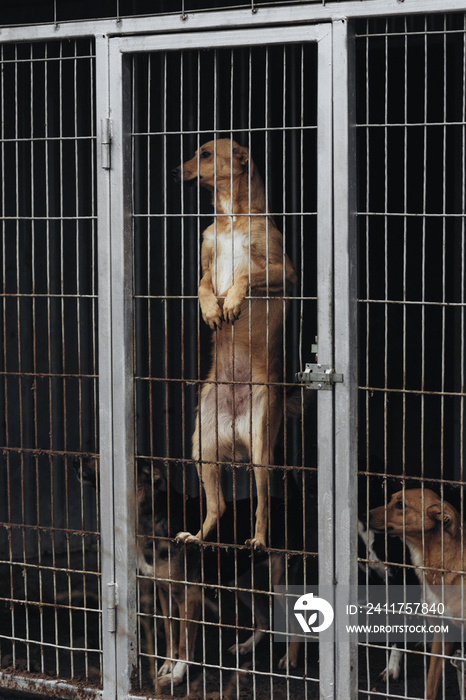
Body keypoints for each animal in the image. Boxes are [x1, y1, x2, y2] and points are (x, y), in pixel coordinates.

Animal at [173, 138, 296, 552]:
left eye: (206, 154)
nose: (174, 171)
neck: (230, 219)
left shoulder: (284, 272)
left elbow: (244, 276)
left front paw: (230, 302)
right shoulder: (206, 258)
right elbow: (203, 285)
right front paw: (212, 307)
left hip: (260, 448)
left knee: (262, 505)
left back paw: (258, 539)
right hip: (202, 447)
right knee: (220, 505)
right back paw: (197, 536)